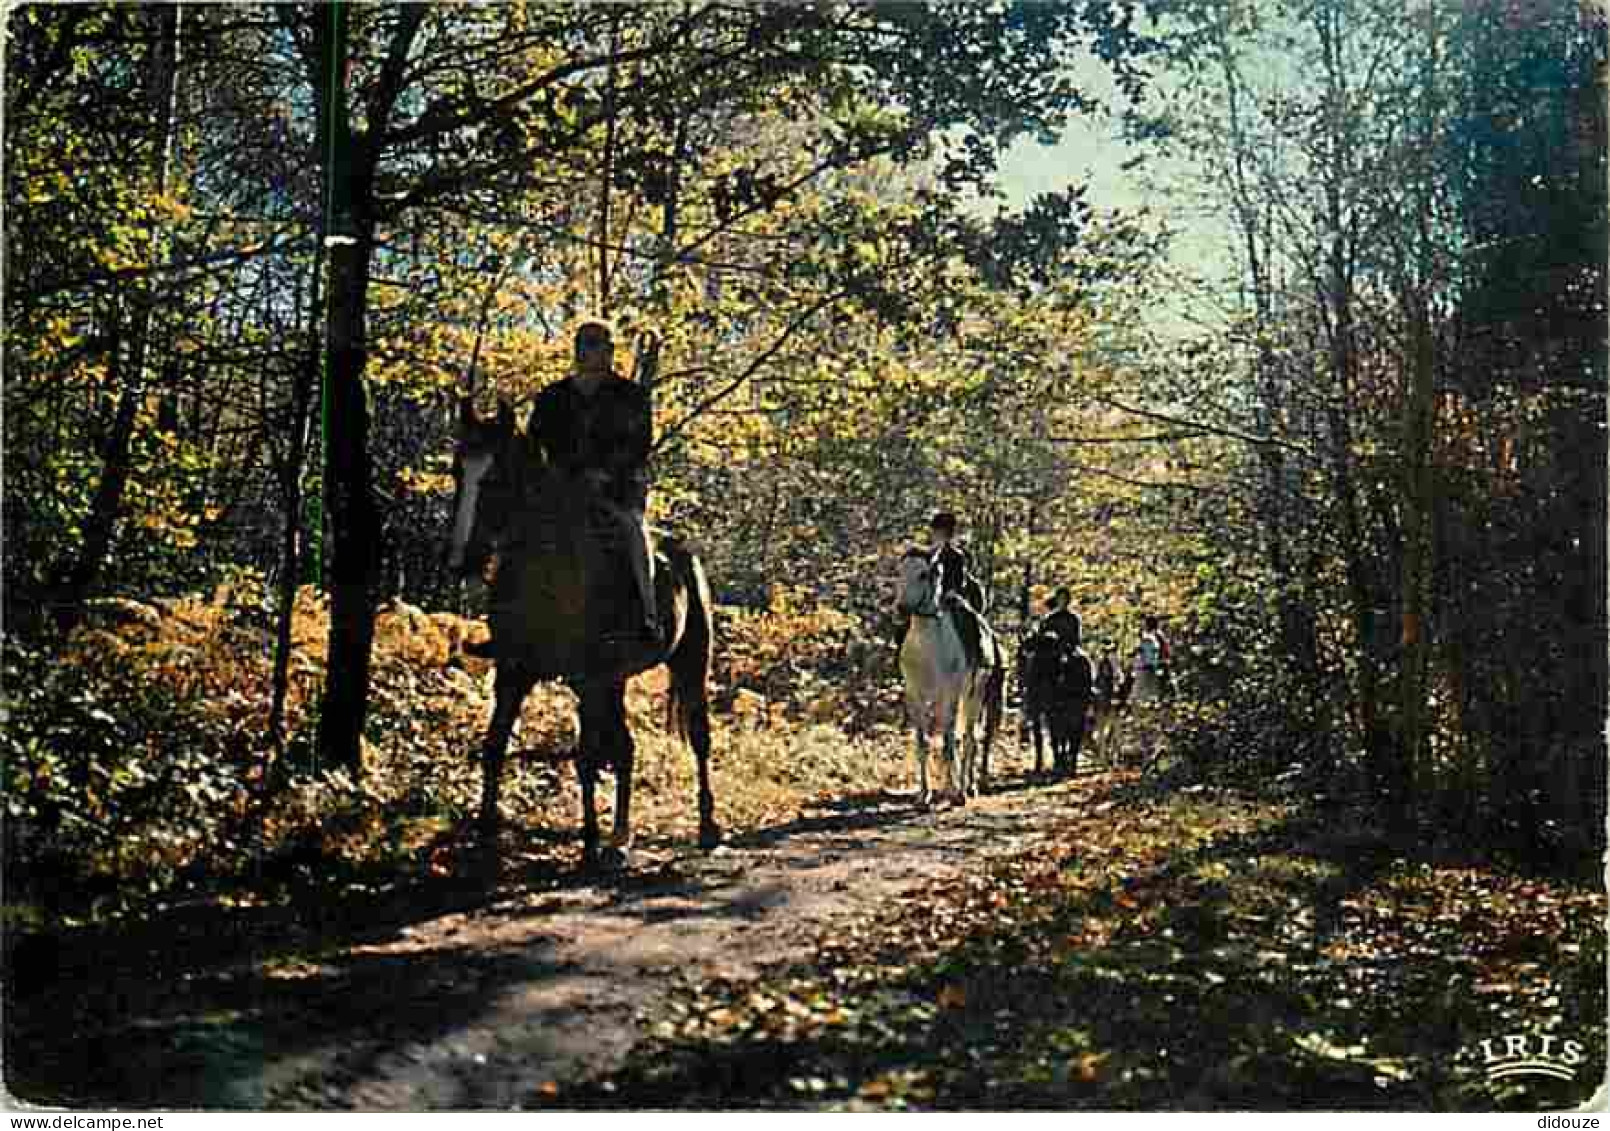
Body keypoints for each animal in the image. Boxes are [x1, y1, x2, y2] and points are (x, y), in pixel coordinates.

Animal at [441, 402, 718, 870]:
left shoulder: (587, 680)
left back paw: (705, 829)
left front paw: (588, 841)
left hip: (687, 664)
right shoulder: (514, 674)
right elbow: (494, 745)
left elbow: (586, 756)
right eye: (458, 471)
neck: (548, 576)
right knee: (626, 748)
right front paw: (485, 835)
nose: (461, 561)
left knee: (698, 737)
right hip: (614, 682)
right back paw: (620, 838)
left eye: (493, 480)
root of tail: (684, 554)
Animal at [901, 547, 998, 805]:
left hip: (974, 695)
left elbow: (949, 742)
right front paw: (924, 795)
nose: (900, 607)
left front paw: (956, 792)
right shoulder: (914, 697)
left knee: (969, 738)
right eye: (901, 572)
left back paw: (968, 787)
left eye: (924, 574)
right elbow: (923, 743)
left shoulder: (951, 695)